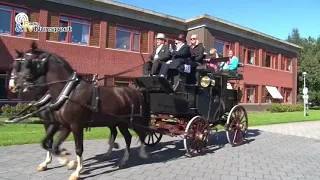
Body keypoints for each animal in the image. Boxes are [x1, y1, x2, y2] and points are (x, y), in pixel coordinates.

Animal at [9, 41, 149, 180]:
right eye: (17, 64)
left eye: (30, 62)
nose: (15, 85)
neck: (68, 92)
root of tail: (133, 91)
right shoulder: (63, 125)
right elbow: (50, 144)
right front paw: (65, 159)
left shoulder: (75, 125)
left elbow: (77, 148)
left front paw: (76, 171)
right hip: (117, 122)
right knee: (124, 135)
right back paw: (116, 156)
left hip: (130, 121)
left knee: (139, 134)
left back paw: (139, 155)